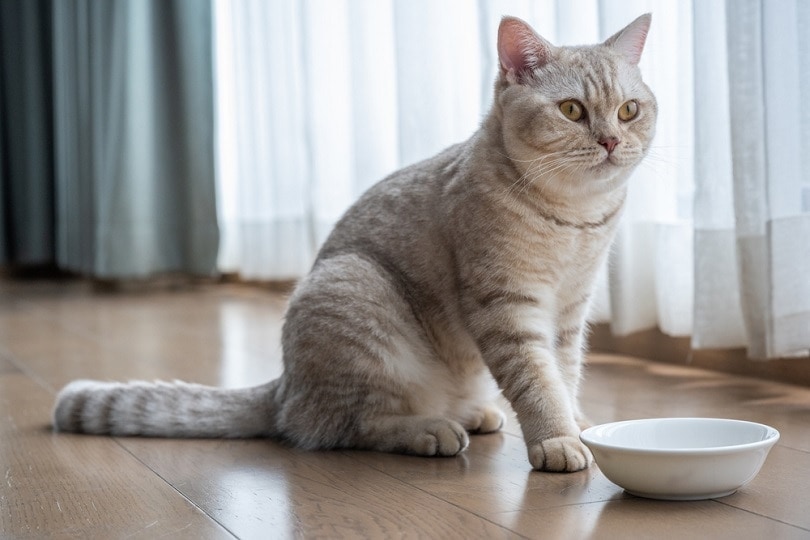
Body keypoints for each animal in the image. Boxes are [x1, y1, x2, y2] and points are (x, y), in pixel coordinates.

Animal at [52, 13, 656, 472]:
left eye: (629, 110)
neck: (575, 219)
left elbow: (564, 373)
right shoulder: (508, 307)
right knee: (336, 425)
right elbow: (537, 379)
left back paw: (470, 413)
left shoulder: (570, 310)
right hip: (355, 290)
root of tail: (284, 386)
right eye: (572, 110)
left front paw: (575, 421)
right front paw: (557, 438)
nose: (611, 140)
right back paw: (428, 430)